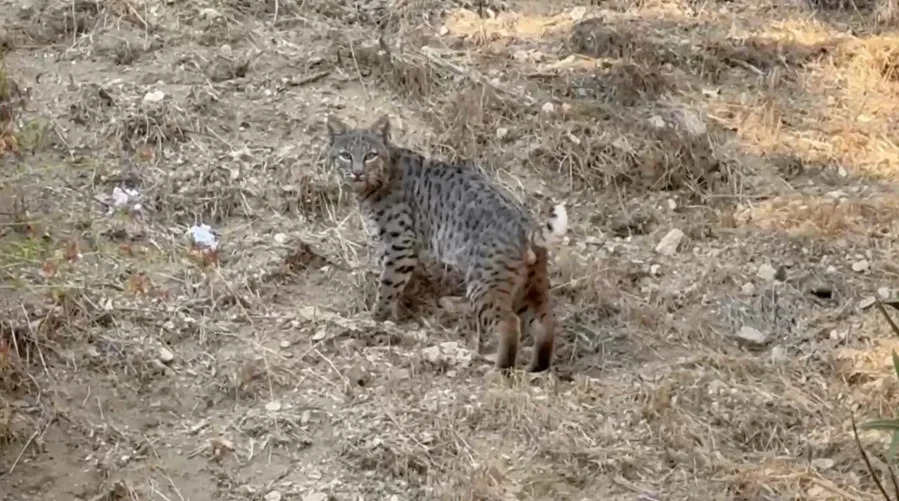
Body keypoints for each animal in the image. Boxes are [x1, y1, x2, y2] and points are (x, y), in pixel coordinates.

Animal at [325, 114, 568, 373]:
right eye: (345, 155)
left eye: (370, 155)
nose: (357, 173)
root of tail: (525, 222)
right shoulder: (388, 246)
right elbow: (394, 283)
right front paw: (394, 316)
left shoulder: (400, 245)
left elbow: (388, 285)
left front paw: (376, 319)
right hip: (531, 285)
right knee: (544, 323)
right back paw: (537, 369)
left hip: (484, 282)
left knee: (509, 322)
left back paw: (499, 369)